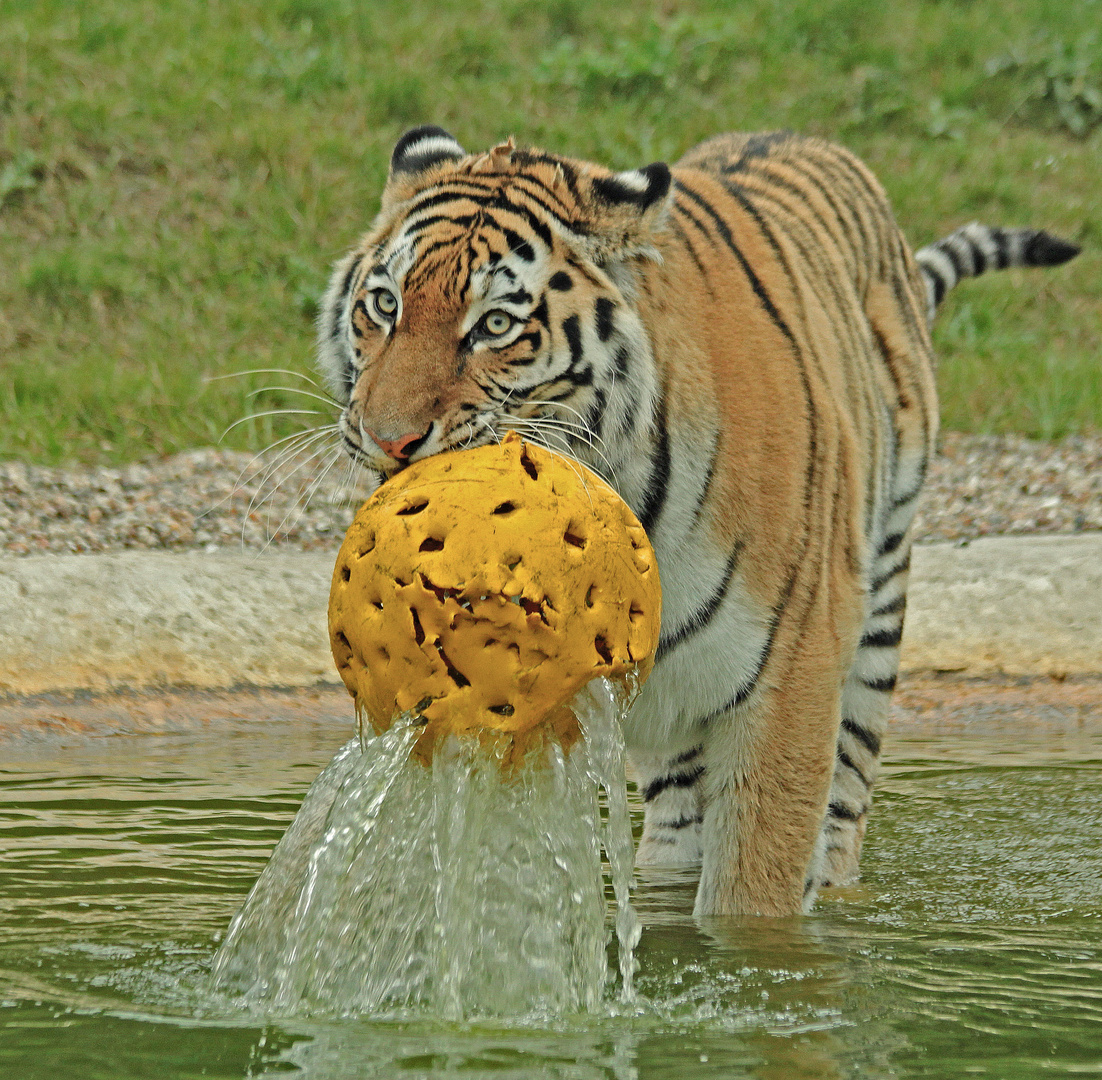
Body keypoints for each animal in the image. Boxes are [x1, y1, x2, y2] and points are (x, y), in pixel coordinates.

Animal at [315, 122, 1079, 916]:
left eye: (496, 325)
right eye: (385, 306)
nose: (389, 439)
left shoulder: (793, 675)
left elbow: (755, 889)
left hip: (878, 607)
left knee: (844, 798)